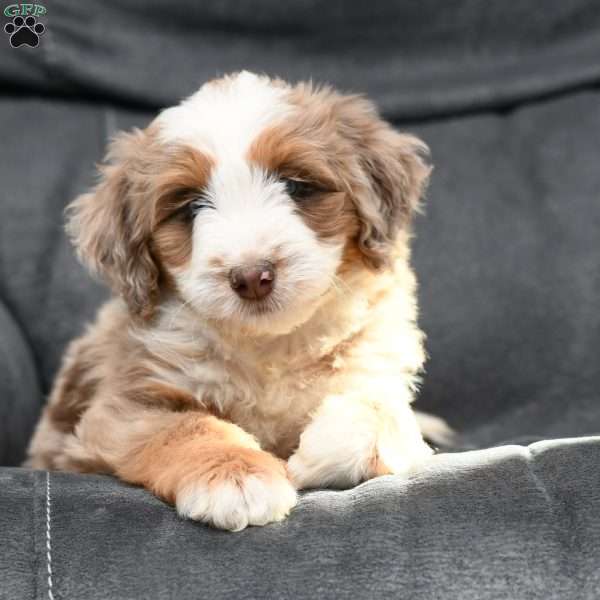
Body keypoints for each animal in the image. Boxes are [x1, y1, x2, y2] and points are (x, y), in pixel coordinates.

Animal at [25, 72, 434, 532]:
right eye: (190, 206)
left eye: (297, 186)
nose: (252, 277)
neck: (266, 348)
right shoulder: (120, 410)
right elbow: (188, 426)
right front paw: (239, 476)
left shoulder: (373, 363)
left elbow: (383, 409)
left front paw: (315, 456)